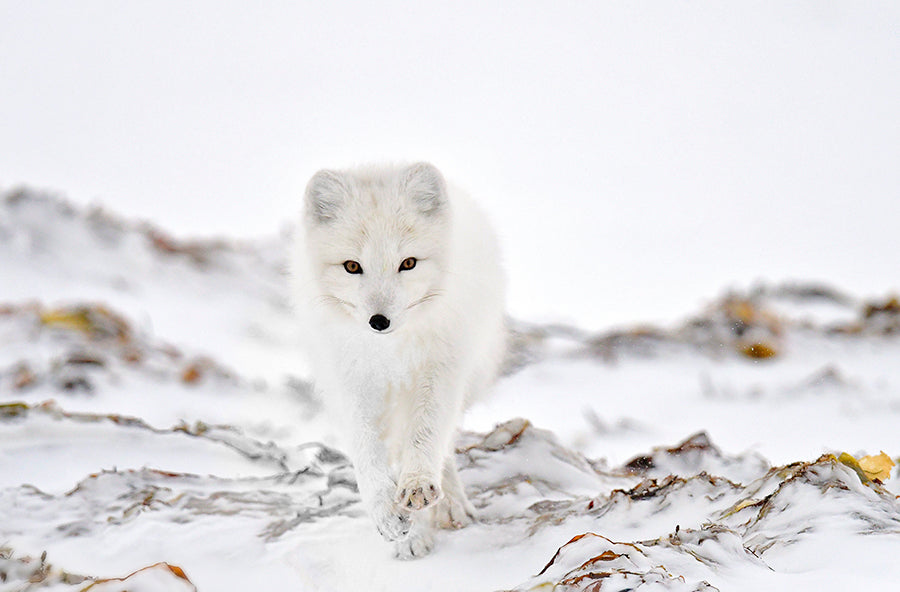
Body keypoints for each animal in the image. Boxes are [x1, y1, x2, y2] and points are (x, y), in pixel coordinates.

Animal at [291, 162, 507, 559]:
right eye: (351, 266)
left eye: (408, 263)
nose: (379, 322)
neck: (389, 353)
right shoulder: (349, 382)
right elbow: (366, 453)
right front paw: (387, 514)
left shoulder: (440, 370)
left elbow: (426, 436)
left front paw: (418, 485)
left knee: (441, 443)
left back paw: (446, 505)